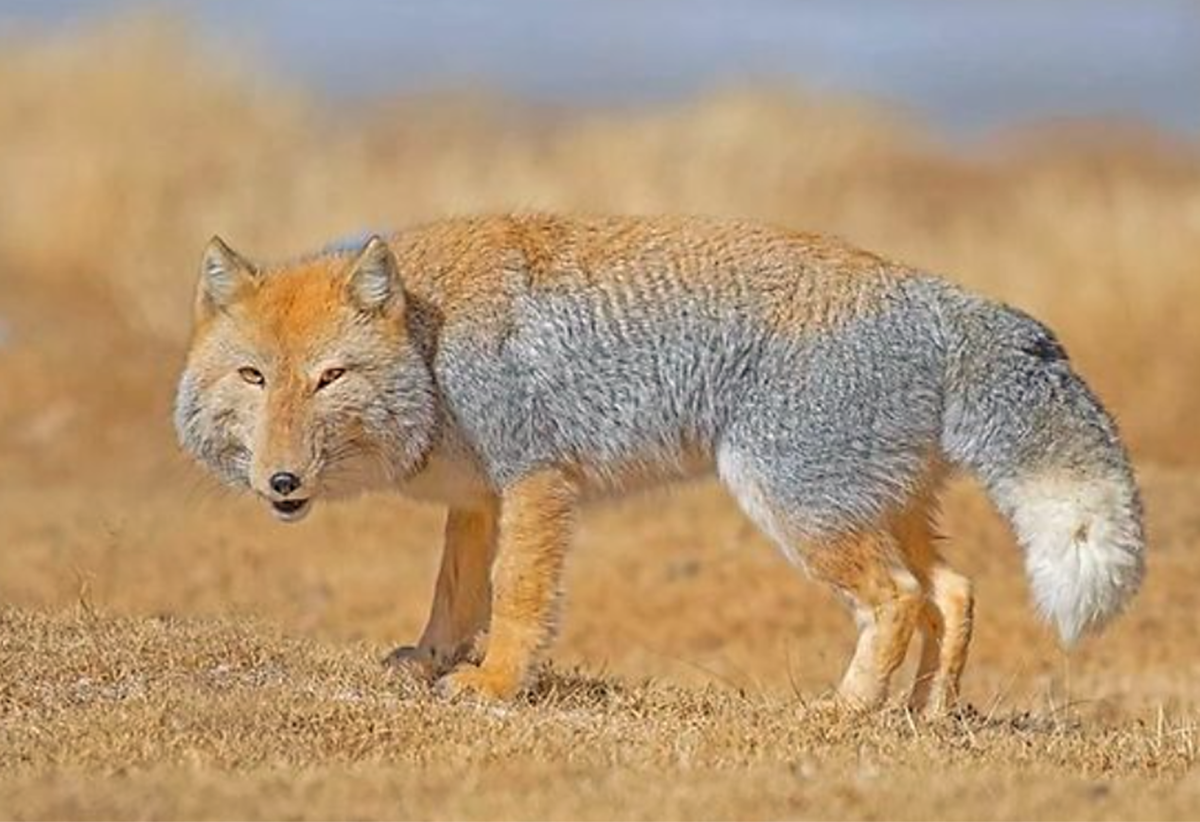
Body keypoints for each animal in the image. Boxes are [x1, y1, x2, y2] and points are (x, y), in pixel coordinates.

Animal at [175, 214, 1142, 715]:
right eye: (254, 378)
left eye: (330, 377)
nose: (281, 483)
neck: (430, 343)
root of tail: (940, 297)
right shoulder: (479, 498)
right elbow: (453, 594)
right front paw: (429, 663)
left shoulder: (536, 478)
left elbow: (516, 598)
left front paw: (496, 685)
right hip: (874, 506)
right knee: (954, 591)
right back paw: (924, 715)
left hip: (794, 504)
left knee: (902, 599)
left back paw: (844, 711)